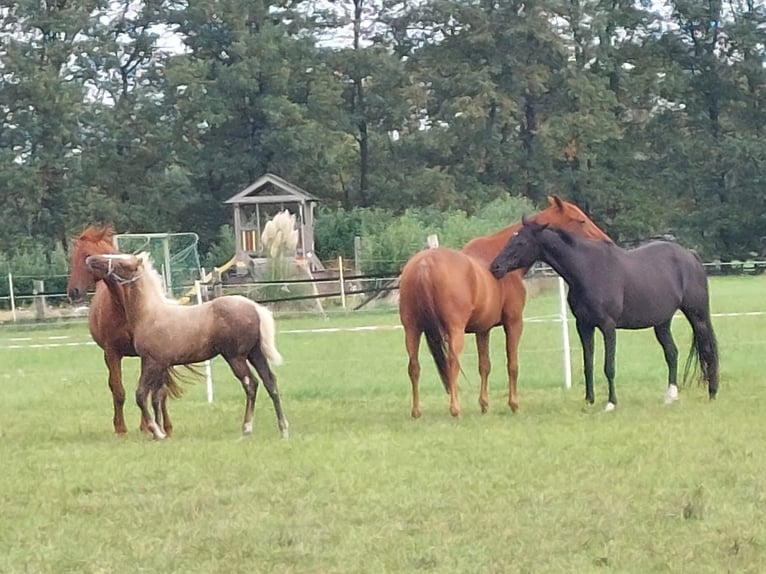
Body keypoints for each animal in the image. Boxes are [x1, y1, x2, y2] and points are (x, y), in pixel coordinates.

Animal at [67, 226, 181, 436]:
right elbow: (118, 390)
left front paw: (147, 426)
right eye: (72, 257)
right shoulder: (111, 353)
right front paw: (121, 428)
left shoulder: (147, 355)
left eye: (87, 255)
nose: (73, 291)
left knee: (161, 390)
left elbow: (149, 390)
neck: (125, 307)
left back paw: (166, 426)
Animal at [85, 252, 289, 439]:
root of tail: (255, 307)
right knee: (270, 382)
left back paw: (246, 428)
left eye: (122, 263)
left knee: (251, 384)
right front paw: (161, 432)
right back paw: (283, 429)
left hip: (235, 357)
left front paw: (156, 431)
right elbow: (157, 397)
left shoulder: (151, 362)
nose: (90, 259)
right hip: (255, 354)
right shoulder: (160, 365)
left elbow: (141, 395)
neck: (150, 313)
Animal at [398, 195, 611, 418]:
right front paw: (514, 404)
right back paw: (455, 409)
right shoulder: (514, 323)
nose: (605, 240)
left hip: (412, 330)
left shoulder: (482, 330)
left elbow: (485, 365)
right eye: (580, 220)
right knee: (452, 364)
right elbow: (512, 364)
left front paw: (484, 404)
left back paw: (416, 411)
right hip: (453, 332)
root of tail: (424, 264)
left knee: (414, 367)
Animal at [489, 219, 719, 410]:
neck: (588, 270)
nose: (495, 267)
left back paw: (712, 392)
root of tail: (690, 256)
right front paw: (589, 400)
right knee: (672, 353)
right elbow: (588, 364)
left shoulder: (608, 327)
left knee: (707, 349)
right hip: (662, 323)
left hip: (697, 316)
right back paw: (671, 395)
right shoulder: (584, 326)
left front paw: (611, 403)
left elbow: (609, 366)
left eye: (520, 242)